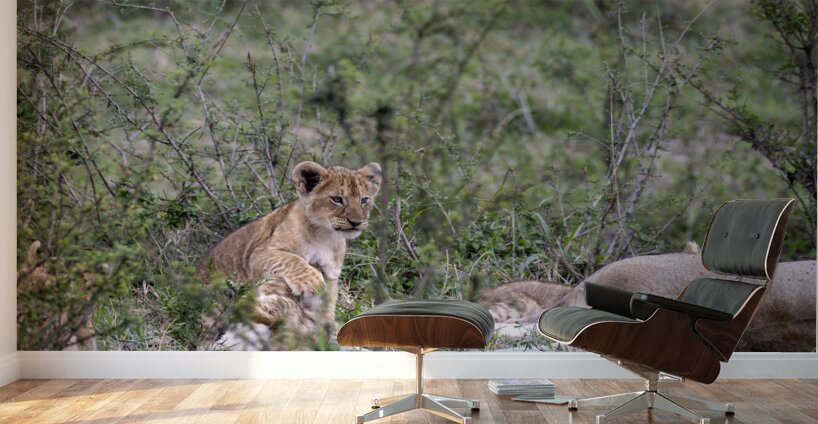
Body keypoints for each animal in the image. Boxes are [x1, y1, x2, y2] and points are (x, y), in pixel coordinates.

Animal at [201, 161, 382, 348]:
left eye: (364, 200)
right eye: (337, 199)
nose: (356, 222)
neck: (325, 237)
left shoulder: (331, 275)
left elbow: (328, 304)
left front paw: (325, 330)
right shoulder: (259, 254)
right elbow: (290, 259)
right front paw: (311, 282)